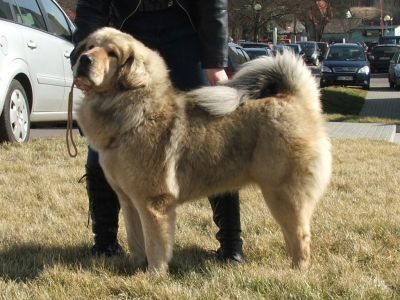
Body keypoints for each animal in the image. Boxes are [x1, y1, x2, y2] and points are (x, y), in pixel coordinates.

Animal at [72, 27, 332, 274]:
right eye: (90, 46)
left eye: (112, 54)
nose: (84, 59)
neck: (135, 113)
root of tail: (294, 99)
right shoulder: (129, 201)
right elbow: (136, 240)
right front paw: (135, 268)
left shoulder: (153, 202)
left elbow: (155, 245)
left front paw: (154, 274)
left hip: (282, 194)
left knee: (300, 236)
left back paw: (297, 271)